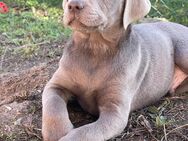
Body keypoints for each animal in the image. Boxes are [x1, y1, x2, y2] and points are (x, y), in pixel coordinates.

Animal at [42, 0, 188, 140]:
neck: (94, 48)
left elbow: (85, 133)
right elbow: (53, 105)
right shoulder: (55, 85)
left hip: (182, 50)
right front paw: (58, 132)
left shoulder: (115, 111)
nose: (73, 5)